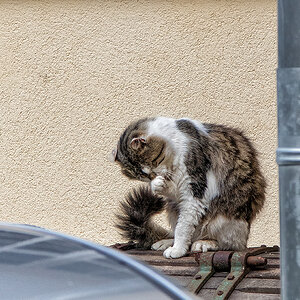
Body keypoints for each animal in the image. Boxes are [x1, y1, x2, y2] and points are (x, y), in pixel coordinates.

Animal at [111, 116, 266, 258]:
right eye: (143, 176)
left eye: (154, 162)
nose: (154, 176)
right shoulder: (178, 192)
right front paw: (156, 184)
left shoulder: (194, 191)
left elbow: (182, 228)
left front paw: (177, 250)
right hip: (173, 210)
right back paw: (166, 242)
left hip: (225, 218)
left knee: (228, 244)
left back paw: (204, 243)